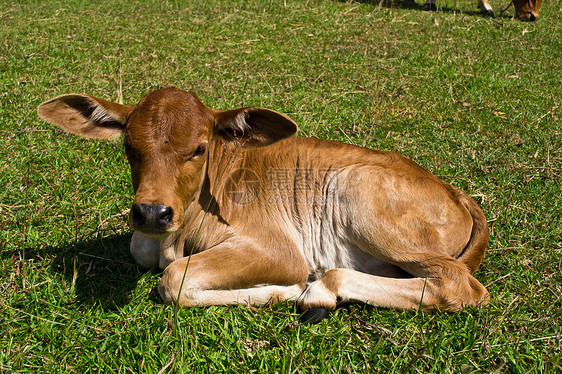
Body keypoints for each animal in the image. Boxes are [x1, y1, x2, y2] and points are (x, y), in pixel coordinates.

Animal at [38, 88, 486, 324]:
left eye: (199, 148)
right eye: (129, 148)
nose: (152, 212)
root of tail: (457, 192)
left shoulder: (280, 249)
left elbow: (174, 279)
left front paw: (282, 291)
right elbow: (147, 256)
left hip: (355, 193)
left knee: (458, 283)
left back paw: (319, 290)